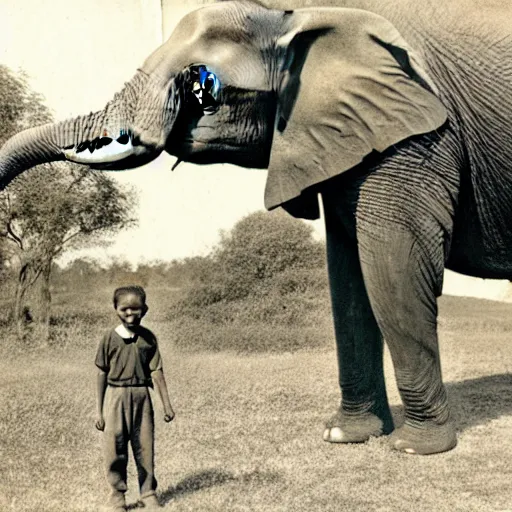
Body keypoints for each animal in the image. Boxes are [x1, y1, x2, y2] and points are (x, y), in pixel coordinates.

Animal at [1, 0, 512, 456]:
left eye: (202, 85)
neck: (294, 17)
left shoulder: (419, 134)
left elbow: (394, 269)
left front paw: (415, 449)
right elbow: (347, 278)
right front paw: (344, 436)